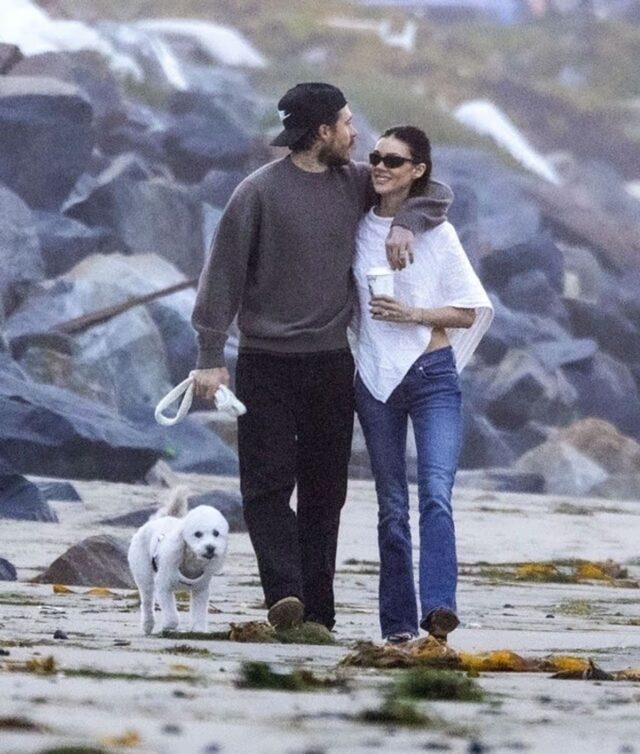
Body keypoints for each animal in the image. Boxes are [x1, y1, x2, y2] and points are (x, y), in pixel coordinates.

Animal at [128, 487, 229, 635]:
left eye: (216, 533)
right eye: (198, 534)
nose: (210, 548)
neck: (191, 561)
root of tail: (161, 519)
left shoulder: (201, 590)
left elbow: (199, 613)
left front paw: (198, 630)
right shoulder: (163, 586)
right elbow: (172, 617)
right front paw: (168, 626)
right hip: (143, 573)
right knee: (147, 601)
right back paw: (148, 624)